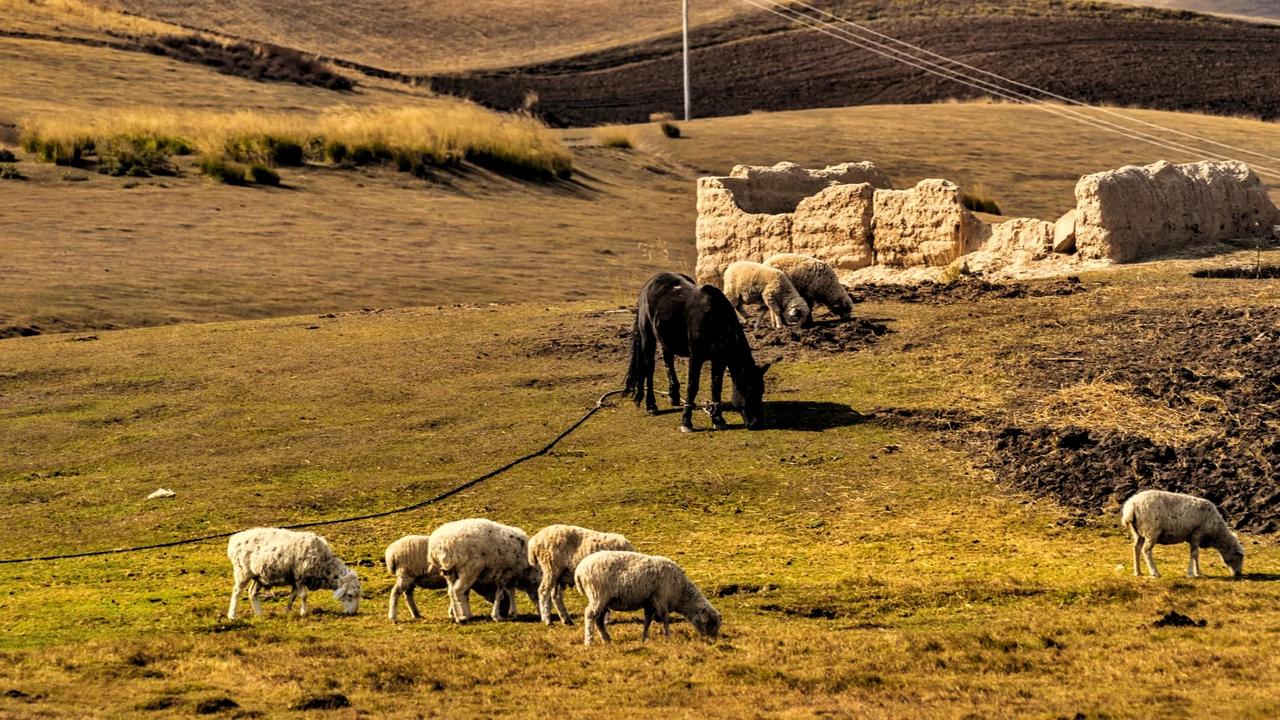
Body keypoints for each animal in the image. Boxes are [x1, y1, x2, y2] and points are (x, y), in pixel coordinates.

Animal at [226, 525, 360, 620]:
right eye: (349, 595)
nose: (352, 613)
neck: (324, 565)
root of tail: (234, 539)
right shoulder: (300, 576)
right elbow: (304, 596)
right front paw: (303, 612)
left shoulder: (295, 580)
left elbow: (293, 596)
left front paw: (287, 611)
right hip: (242, 572)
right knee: (237, 592)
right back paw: (232, 615)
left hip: (259, 576)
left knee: (252, 593)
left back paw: (259, 614)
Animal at [384, 530, 535, 620]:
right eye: (504, 598)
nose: (503, 613)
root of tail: (390, 553)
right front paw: (456, 613)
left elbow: (461, 595)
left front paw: (455, 612)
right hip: (405, 574)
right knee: (395, 592)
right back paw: (393, 617)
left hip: (410, 577)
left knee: (408, 594)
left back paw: (416, 614)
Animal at [573, 548, 721, 645]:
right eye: (711, 623)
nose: (713, 641)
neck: (681, 592)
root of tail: (579, 570)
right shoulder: (661, 599)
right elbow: (665, 618)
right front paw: (668, 637)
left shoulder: (650, 602)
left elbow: (648, 620)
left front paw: (644, 639)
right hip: (598, 594)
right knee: (590, 615)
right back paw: (589, 641)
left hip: (604, 600)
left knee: (599, 620)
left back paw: (607, 640)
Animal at [622, 270, 768, 427]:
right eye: (747, 390)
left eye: (761, 391)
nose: (756, 422)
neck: (715, 321)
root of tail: (649, 284)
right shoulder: (696, 357)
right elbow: (692, 386)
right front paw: (686, 421)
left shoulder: (719, 359)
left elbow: (716, 386)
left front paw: (717, 418)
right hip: (648, 337)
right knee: (648, 368)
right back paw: (651, 405)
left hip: (667, 339)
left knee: (668, 361)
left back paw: (673, 396)